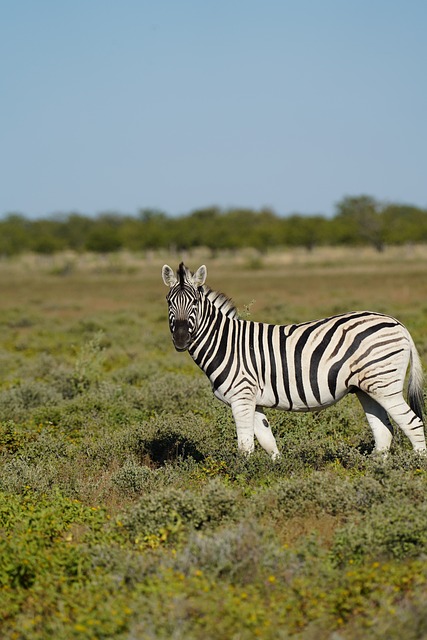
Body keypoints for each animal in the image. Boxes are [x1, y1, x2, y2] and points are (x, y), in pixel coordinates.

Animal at [162, 262, 426, 459]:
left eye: (195, 302)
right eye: (169, 301)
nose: (181, 339)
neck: (226, 344)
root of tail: (398, 323)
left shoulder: (241, 397)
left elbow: (245, 446)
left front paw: (242, 478)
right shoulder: (253, 401)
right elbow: (268, 441)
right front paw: (273, 472)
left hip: (385, 385)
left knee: (413, 424)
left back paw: (412, 469)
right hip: (367, 389)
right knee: (384, 432)